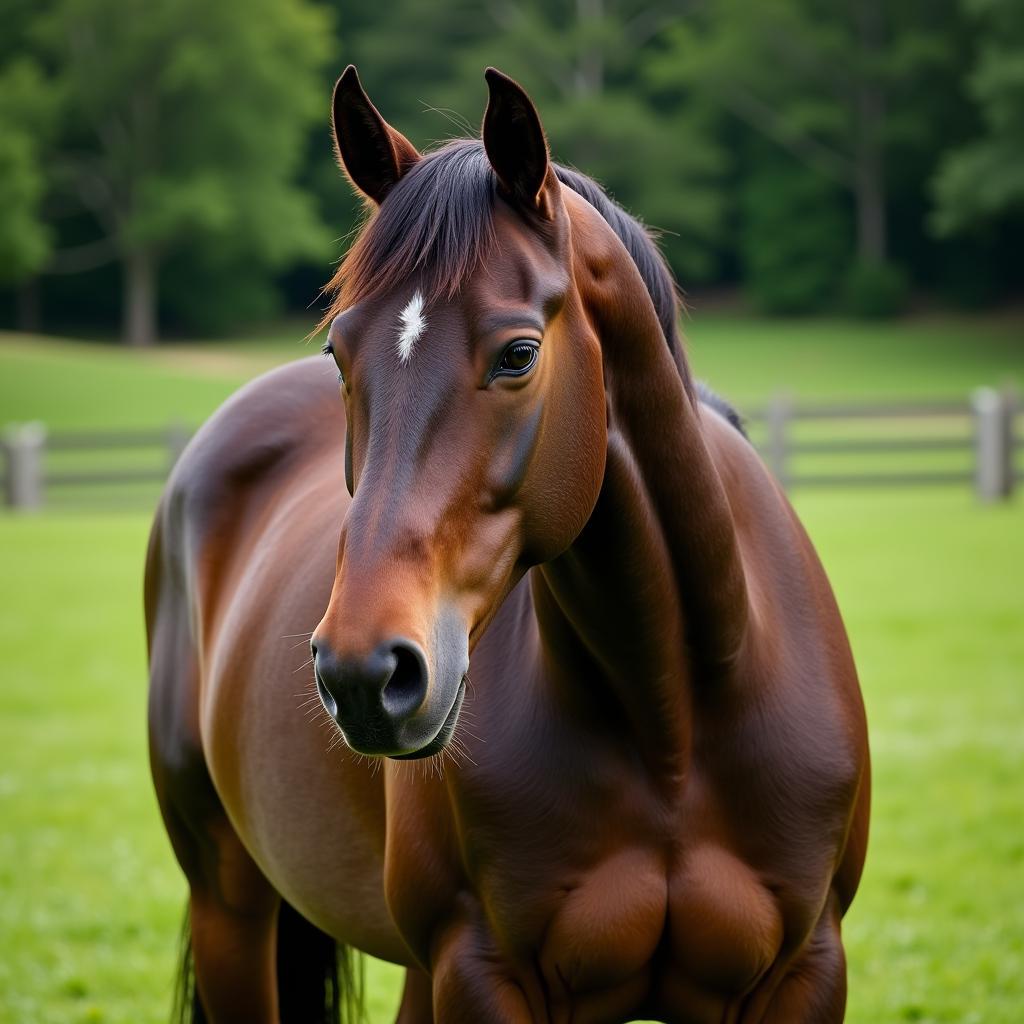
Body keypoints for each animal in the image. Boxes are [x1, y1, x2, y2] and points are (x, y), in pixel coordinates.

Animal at [148, 68, 872, 1019]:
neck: (674, 724)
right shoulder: (481, 970)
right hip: (231, 906)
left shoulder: (806, 970)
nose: (363, 672)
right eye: (340, 352)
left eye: (520, 354)